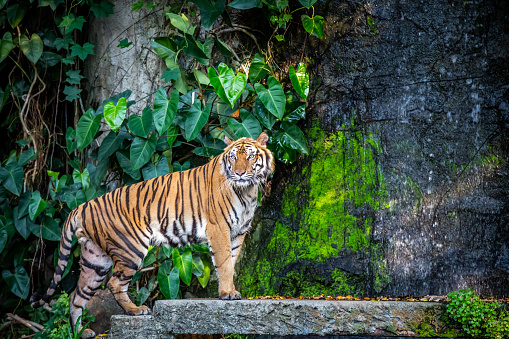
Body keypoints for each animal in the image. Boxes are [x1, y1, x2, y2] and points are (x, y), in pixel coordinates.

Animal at [31, 132, 274, 338]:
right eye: (233, 157)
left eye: (250, 156)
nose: (239, 173)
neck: (247, 190)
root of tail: (82, 205)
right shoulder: (219, 228)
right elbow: (224, 264)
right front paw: (227, 293)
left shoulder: (238, 232)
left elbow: (231, 261)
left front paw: (229, 291)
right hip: (130, 249)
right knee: (114, 284)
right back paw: (136, 310)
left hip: (96, 260)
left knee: (76, 296)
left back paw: (82, 333)